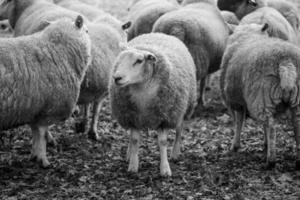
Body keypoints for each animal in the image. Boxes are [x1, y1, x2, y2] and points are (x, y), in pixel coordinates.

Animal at [0, 15, 91, 168]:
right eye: (87, 31)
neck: (57, 50)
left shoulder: (34, 109)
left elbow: (35, 132)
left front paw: (34, 156)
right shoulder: (49, 109)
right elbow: (41, 134)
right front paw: (43, 160)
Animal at [109, 33, 197, 177]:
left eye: (139, 61)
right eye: (120, 60)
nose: (117, 78)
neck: (142, 91)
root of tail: (160, 34)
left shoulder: (164, 117)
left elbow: (162, 142)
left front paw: (165, 169)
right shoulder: (132, 116)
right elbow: (134, 140)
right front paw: (133, 165)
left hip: (181, 109)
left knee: (179, 130)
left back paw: (175, 153)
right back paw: (128, 153)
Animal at [219, 22, 300, 169]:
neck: (248, 36)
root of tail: (286, 61)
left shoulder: (236, 101)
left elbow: (239, 122)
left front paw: (235, 145)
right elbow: (262, 126)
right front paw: (265, 144)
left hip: (260, 97)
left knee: (271, 127)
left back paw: (271, 161)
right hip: (291, 99)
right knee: (296, 124)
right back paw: (297, 161)